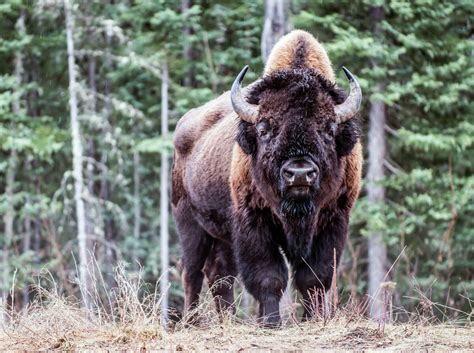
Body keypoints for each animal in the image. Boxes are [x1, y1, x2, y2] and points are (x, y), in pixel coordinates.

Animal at [172, 30, 362, 324]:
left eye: (329, 129)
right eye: (264, 129)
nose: (299, 173)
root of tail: (185, 123)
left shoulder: (333, 221)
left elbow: (314, 278)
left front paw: (312, 320)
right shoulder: (253, 222)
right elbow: (269, 276)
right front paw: (272, 323)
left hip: (222, 233)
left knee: (219, 274)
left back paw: (228, 320)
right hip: (189, 221)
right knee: (192, 271)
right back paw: (191, 321)